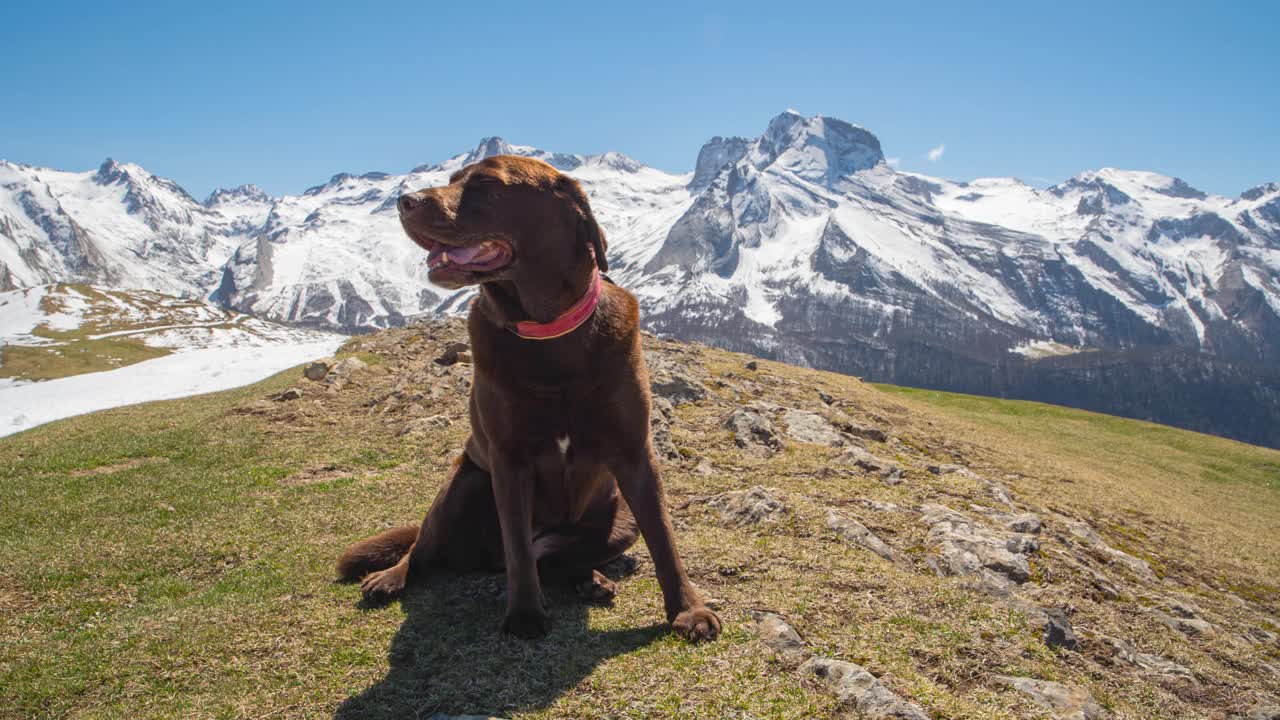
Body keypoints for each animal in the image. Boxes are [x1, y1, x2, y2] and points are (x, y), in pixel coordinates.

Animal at [335, 155, 721, 638]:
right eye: (452, 180)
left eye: (485, 183)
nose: (404, 200)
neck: (549, 332)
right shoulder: (509, 459)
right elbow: (517, 545)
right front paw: (524, 615)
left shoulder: (635, 454)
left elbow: (664, 537)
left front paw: (688, 609)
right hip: (461, 484)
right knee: (428, 548)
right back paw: (391, 576)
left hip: (617, 520)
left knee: (559, 560)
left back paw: (590, 579)